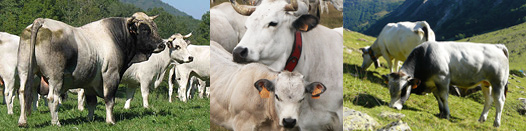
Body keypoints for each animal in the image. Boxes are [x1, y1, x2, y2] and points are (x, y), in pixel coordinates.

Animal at [17, 12, 165, 126]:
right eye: (145, 30)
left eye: (155, 27)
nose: (162, 45)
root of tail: (42, 21)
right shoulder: (111, 75)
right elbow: (109, 100)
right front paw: (110, 121)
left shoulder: (89, 83)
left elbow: (91, 102)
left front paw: (90, 119)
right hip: (55, 77)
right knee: (52, 98)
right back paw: (56, 122)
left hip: (24, 71)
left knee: (23, 93)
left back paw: (22, 121)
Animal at [384, 41, 512, 127]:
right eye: (390, 89)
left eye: (403, 90)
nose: (393, 107)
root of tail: (498, 46)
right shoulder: (434, 83)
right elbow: (438, 98)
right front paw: (441, 112)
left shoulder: (443, 79)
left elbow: (444, 97)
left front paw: (446, 115)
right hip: (486, 83)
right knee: (488, 100)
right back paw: (481, 119)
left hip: (498, 83)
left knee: (499, 101)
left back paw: (496, 123)